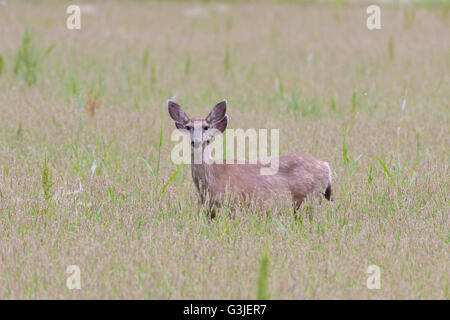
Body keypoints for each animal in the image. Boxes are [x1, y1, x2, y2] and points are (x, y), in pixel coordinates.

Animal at [167, 99, 332, 216]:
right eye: (188, 127)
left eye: (206, 127)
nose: (196, 142)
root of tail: (326, 166)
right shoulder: (209, 209)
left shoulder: (234, 201)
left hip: (308, 198)